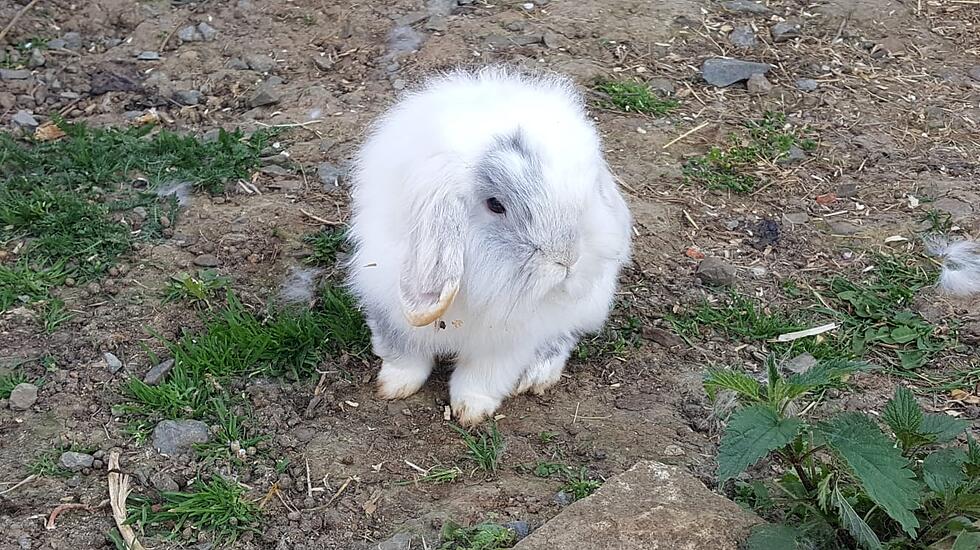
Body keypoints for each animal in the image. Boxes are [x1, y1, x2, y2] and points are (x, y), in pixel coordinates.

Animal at [344, 64, 636, 426]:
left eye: (587, 194)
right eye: (496, 205)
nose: (567, 261)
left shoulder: (508, 343)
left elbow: (482, 377)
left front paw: (471, 411)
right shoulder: (387, 307)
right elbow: (404, 356)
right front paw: (395, 386)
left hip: (587, 303)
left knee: (564, 336)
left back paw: (538, 376)